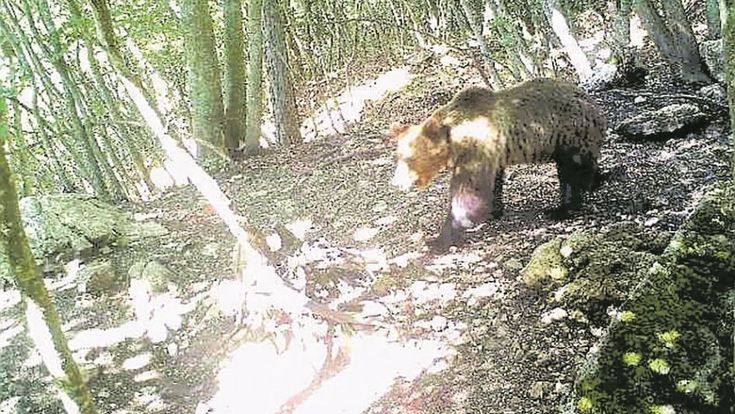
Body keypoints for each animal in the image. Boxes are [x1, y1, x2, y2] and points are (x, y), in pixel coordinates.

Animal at [390, 77, 607, 252]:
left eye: (408, 158)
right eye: (398, 156)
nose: (396, 182)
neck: (453, 140)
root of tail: (593, 103)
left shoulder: (476, 146)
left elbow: (468, 190)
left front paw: (438, 240)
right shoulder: (493, 153)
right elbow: (492, 181)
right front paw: (493, 210)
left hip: (567, 133)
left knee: (571, 172)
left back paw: (561, 209)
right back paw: (597, 181)